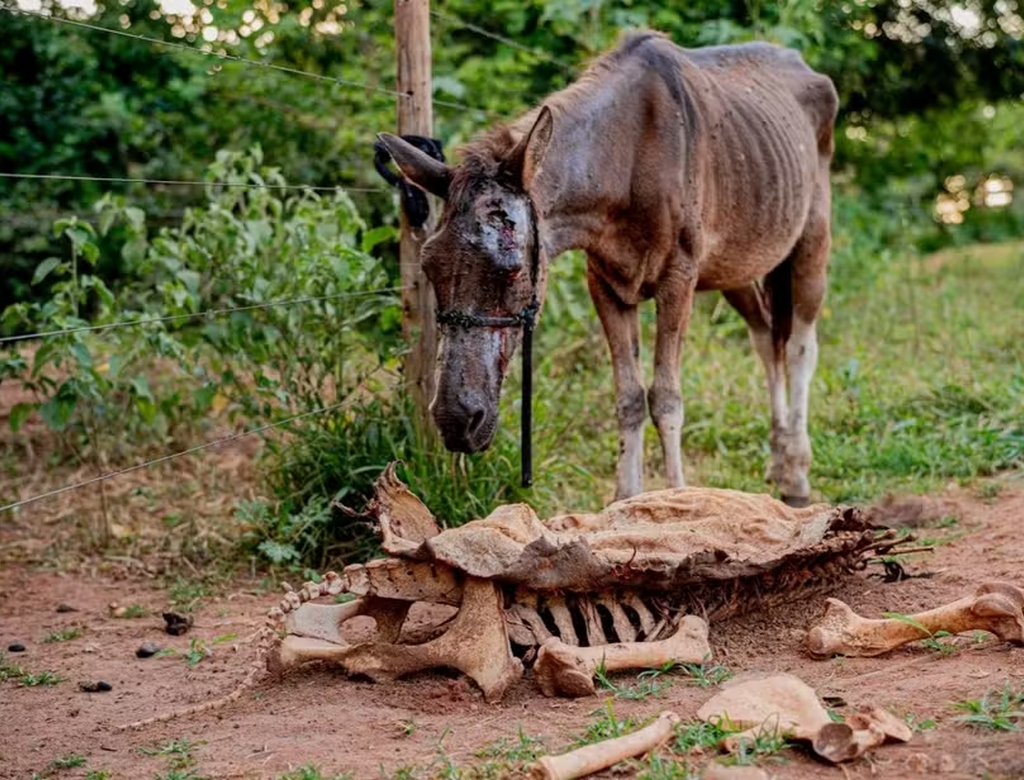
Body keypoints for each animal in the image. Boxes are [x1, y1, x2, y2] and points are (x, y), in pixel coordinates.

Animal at [378, 30, 838, 506]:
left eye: (513, 269)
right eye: (429, 264)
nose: (455, 420)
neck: (620, 175)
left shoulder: (679, 278)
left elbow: (667, 398)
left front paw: (679, 498)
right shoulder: (605, 282)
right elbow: (629, 398)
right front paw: (626, 500)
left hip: (810, 240)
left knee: (801, 345)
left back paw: (797, 475)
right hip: (737, 265)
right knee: (766, 336)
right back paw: (779, 463)